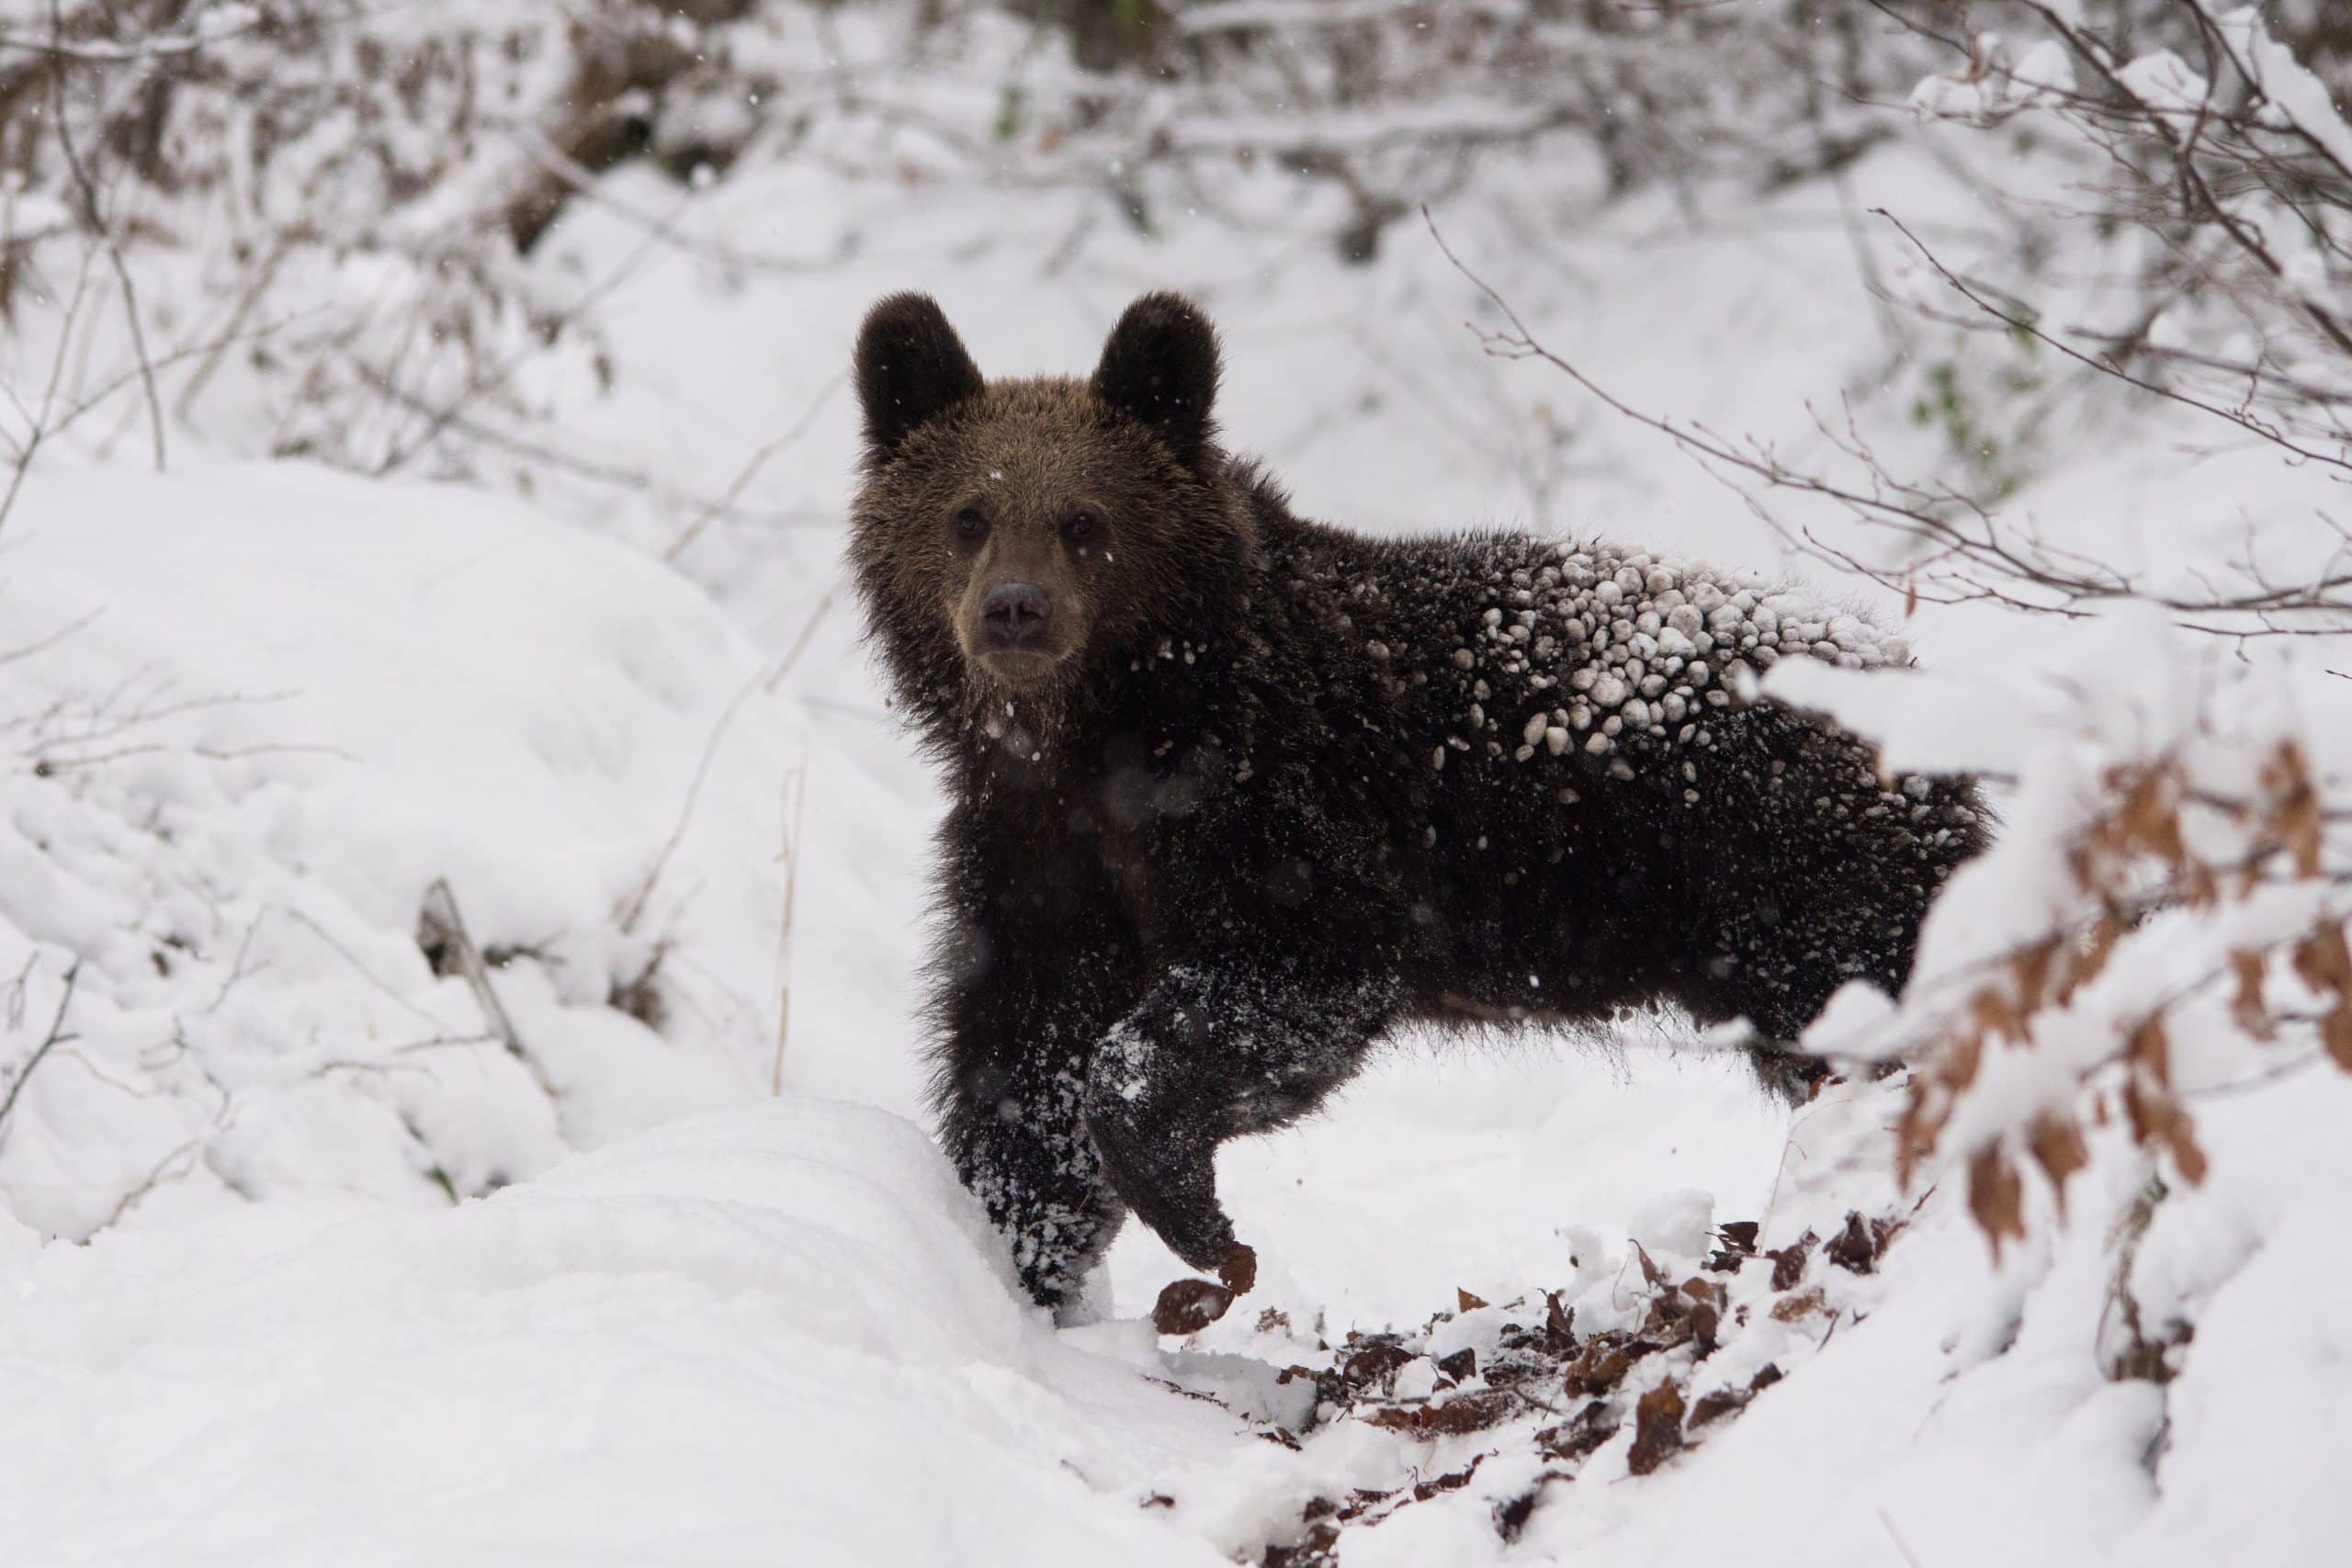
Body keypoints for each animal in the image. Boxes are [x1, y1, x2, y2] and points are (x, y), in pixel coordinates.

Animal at [846, 291, 1984, 1316]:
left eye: (1084, 520)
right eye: (966, 515)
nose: (1014, 610)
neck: (1105, 741)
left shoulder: (1281, 813)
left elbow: (1273, 987)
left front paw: (1199, 1222)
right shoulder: (1043, 864)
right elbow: (1023, 1070)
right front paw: (1010, 1265)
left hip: (1806, 888)